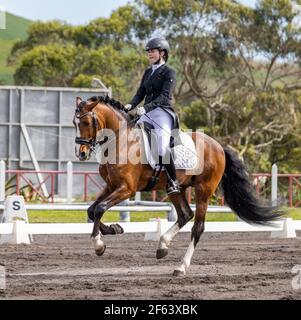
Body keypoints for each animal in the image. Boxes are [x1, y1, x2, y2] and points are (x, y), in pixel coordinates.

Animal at [73, 94, 284, 276]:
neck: (122, 141)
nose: (81, 153)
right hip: (176, 188)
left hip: (204, 190)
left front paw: (99, 245)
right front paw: (114, 229)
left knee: (197, 227)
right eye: (74, 123)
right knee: (185, 215)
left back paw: (181, 267)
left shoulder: (126, 189)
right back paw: (163, 246)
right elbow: (92, 210)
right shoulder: (111, 186)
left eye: (86, 123)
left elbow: (100, 208)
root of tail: (217, 146)